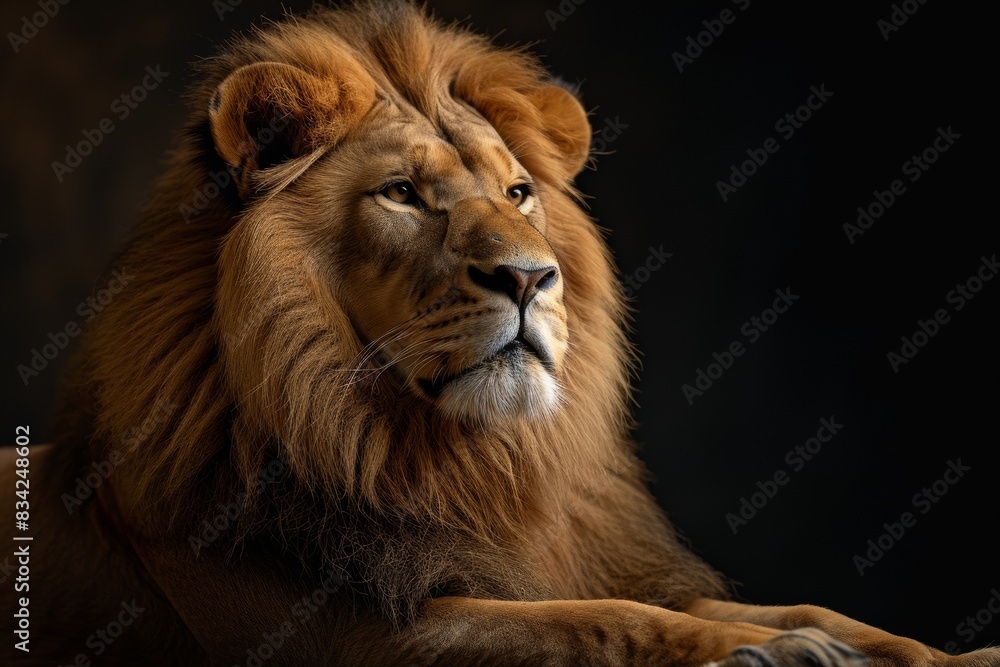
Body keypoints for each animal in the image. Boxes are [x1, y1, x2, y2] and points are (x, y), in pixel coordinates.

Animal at [3, 2, 998, 665]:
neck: (456, 461)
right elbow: (590, 621)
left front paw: (930, 652)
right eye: (403, 194)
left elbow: (806, 608)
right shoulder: (342, 633)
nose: (528, 276)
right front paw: (767, 654)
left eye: (518, 192)